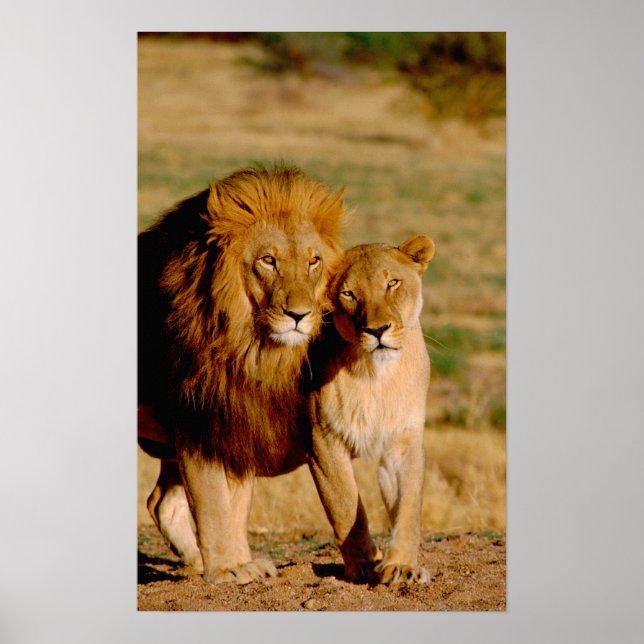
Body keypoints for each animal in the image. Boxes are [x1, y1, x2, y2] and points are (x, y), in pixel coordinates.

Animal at [138, 165, 345, 584]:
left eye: (313, 261)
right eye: (268, 260)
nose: (300, 314)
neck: (250, 348)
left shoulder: (239, 417)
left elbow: (236, 503)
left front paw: (239, 562)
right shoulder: (198, 419)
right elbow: (214, 500)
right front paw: (227, 569)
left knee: (160, 502)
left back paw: (193, 560)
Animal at [307, 235, 435, 585]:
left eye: (392, 283)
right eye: (349, 294)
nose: (377, 331)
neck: (376, 376)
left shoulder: (403, 440)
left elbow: (408, 507)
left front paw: (402, 566)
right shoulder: (322, 440)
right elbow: (345, 503)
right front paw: (363, 563)